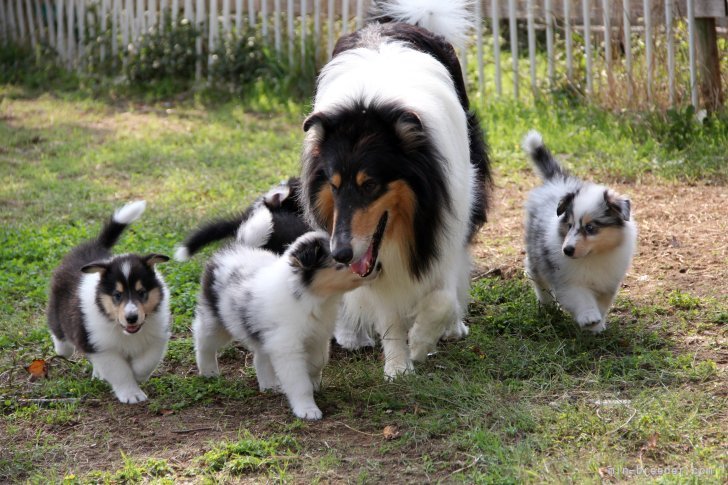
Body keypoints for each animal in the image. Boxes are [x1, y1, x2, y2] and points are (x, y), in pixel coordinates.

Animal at [47, 200, 171, 400]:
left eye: (141, 292)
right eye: (117, 295)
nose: (131, 318)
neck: (125, 332)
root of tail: (95, 247)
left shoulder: (158, 337)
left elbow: (146, 362)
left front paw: (138, 374)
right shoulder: (103, 347)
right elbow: (120, 372)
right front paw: (132, 394)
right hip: (60, 313)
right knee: (60, 336)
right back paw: (62, 347)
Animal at [191, 210, 378, 418]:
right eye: (340, 263)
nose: (377, 267)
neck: (312, 297)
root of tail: (238, 248)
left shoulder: (317, 338)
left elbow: (317, 362)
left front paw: (314, 381)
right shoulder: (288, 346)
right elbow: (299, 382)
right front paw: (307, 409)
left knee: (260, 357)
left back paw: (269, 385)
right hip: (215, 320)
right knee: (204, 341)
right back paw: (209, 372)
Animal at [524, 130, 636, 330]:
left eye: (590, 228)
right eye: (569, 225)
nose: (567, 250)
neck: (592, 256)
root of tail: (556, 181)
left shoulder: (607, 283)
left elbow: (602, 304)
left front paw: (597, 325)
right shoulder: (567, 281)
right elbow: (581, 297)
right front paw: (589, 317)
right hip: (536, 255)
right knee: (537, 278)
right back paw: (547, 305)